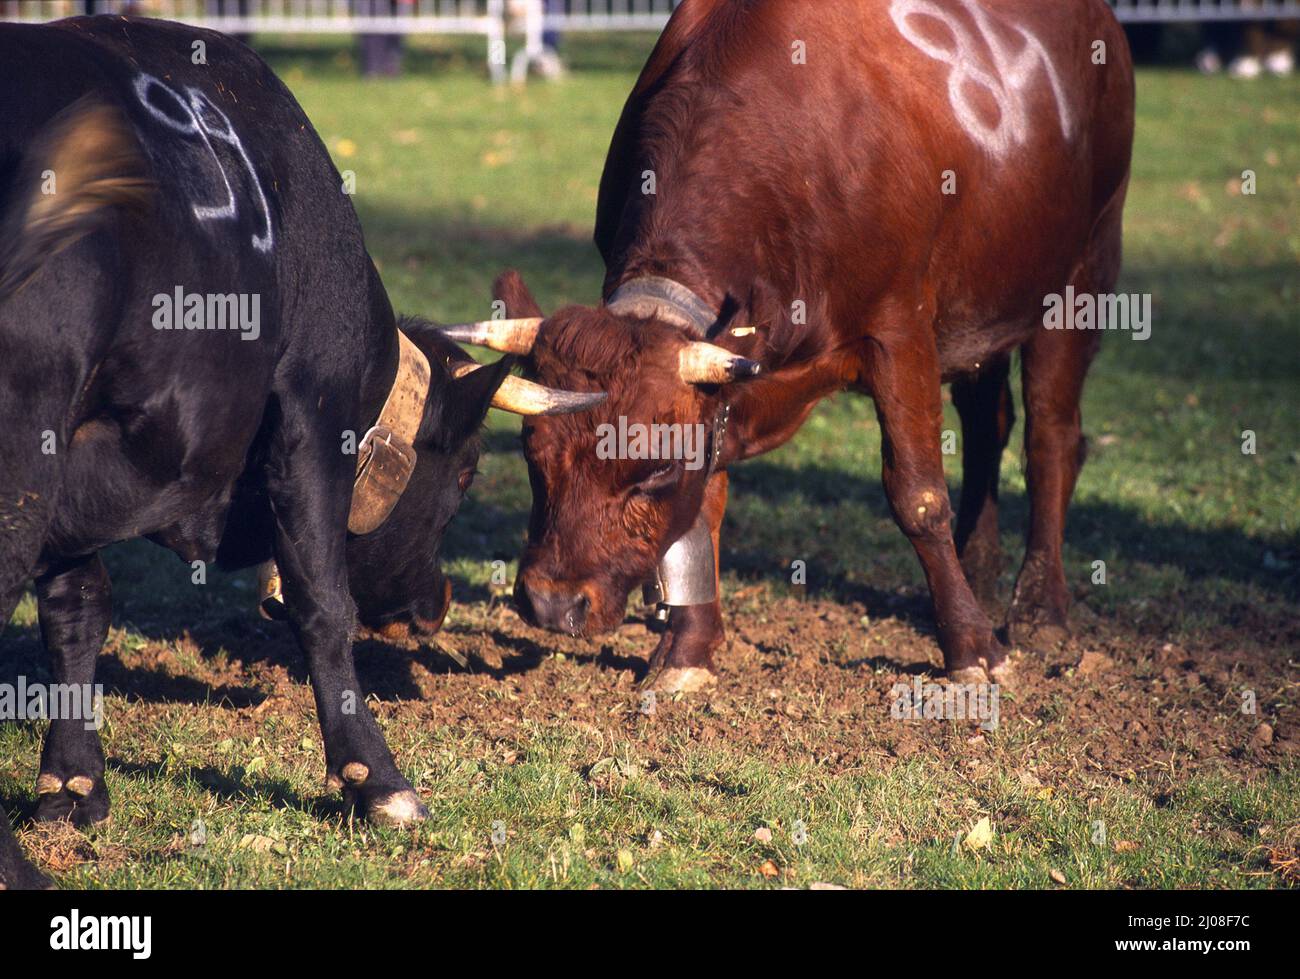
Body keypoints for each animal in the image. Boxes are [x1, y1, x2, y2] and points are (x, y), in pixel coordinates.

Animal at [0, 15, 595, 884]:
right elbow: (323, 599)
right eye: (466, 472)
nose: (437, 603)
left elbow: (77, 607)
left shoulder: (76, 465)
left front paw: (71, 784)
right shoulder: (312, 411)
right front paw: (376, 780)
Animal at [449, 0, 1138, 691]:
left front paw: (972, 649)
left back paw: (1039, 608)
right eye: (532, 454)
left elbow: (918, 496)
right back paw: (981, 572)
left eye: (657, 470)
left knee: (1051, 438)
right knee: (987, 424)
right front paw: (688, 648)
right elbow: (707, 500)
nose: (552, 604)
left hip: (1083, 270)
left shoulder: (900, 329)